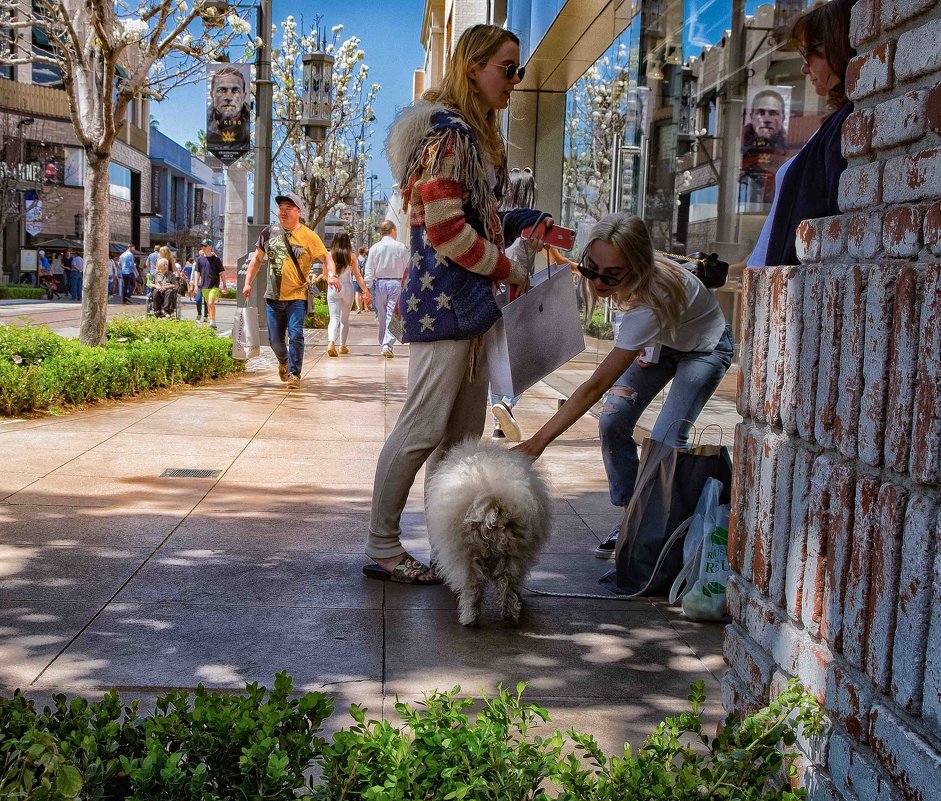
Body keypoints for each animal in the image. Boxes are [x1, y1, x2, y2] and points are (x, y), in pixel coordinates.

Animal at [424, 438, 556, 624]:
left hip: (466, 554)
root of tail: (492, 506)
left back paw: (469, 618)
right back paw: (507, 614)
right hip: (514, 555)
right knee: (507, 585)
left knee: (473, 587)